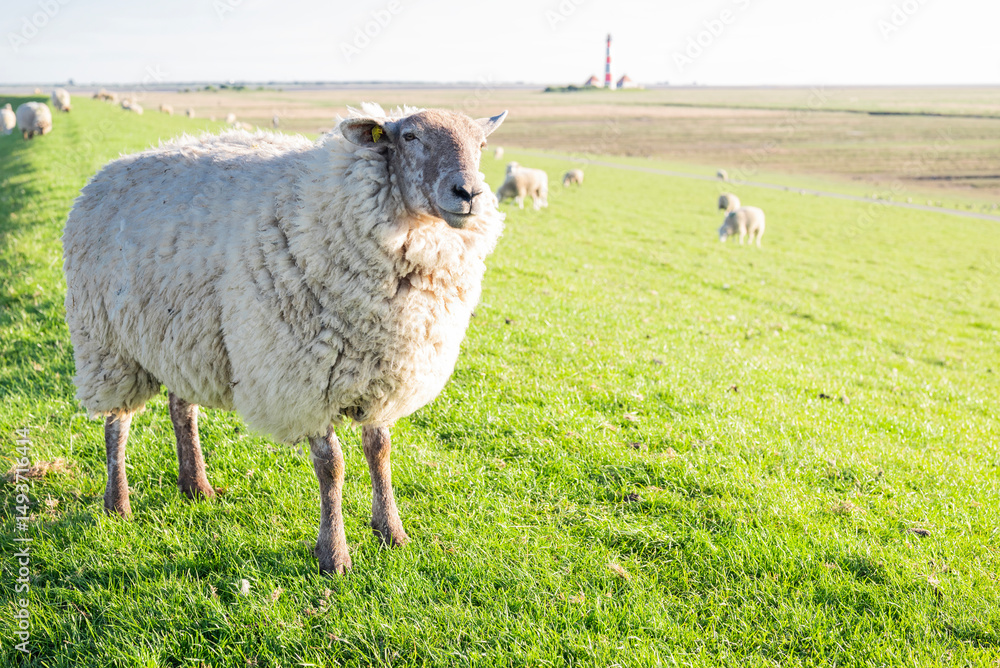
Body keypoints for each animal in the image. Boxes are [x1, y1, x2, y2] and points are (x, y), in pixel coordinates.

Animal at [62, 103, 508, 575]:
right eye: (410, 137)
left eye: (482, 144)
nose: (469, 193)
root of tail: (107, 170)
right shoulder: (305, 378)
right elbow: (331, 466)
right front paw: (334, 555)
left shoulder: (380, 373)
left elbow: (379, 452)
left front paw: (392, 532)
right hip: (107, 344)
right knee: (117, 424)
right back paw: (117, 504)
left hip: (183, 336)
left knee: (181, 409)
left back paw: (196, 485)